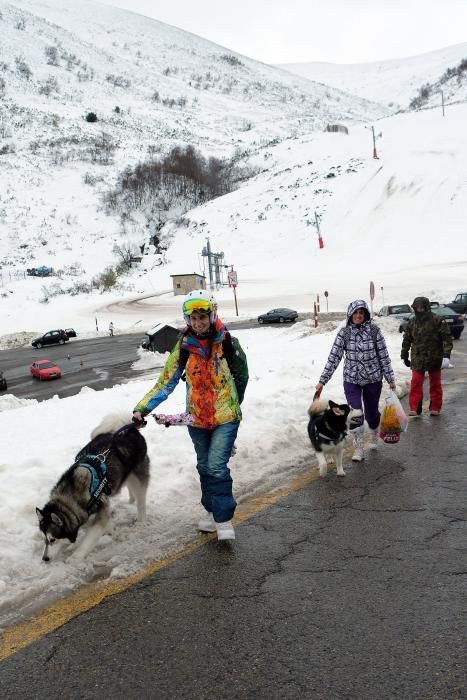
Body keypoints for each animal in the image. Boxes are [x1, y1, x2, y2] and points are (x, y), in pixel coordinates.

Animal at [36, 416, 150, 564]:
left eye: (52, 540)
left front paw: (77, 555)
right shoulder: (90, 511)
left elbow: (90, 537)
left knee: (141, 501)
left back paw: (141, 520)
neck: (71, 498)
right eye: (44, 539)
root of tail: (128, 430)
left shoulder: (99, 508)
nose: (45, 558)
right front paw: (108, 531)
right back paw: (131, 500)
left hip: (138, 478)